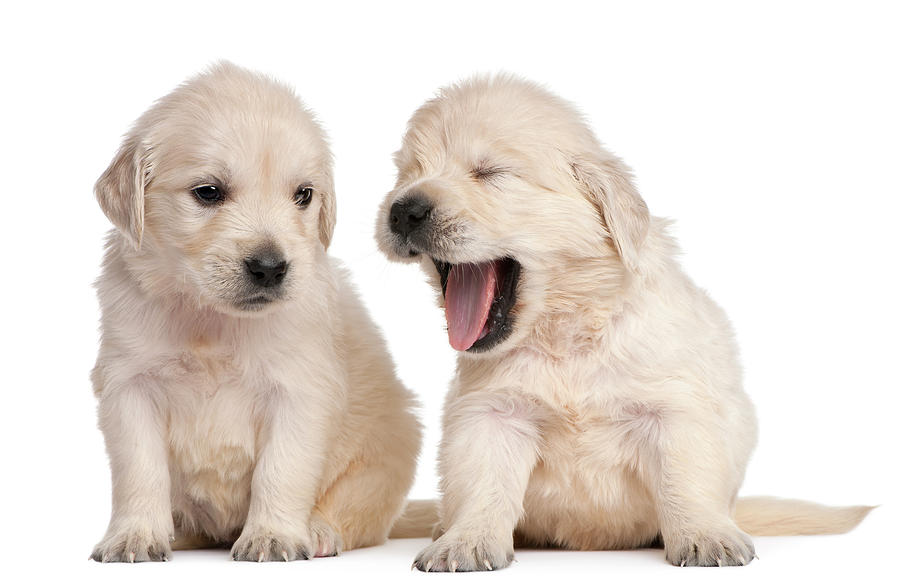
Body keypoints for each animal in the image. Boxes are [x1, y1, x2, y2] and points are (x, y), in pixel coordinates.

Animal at [89, 64, 422, 560]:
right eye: (208, 192)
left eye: (303, 195)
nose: (270, 267)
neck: (212, 318)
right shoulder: (129, 386)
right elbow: (140, 472)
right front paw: (136, 535)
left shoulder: (298, 392)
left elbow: (280, 471)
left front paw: (273, 535)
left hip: (388, 451)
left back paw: (318, 531)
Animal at [374, 73, 872, 572]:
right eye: (406, 175)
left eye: (491, 173)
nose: (403, 210)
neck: (565, 329)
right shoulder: (490, 412)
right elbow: (482, 482)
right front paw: (466, 541)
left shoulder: (674, 406)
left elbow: (684, 476)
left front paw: (705, 536)